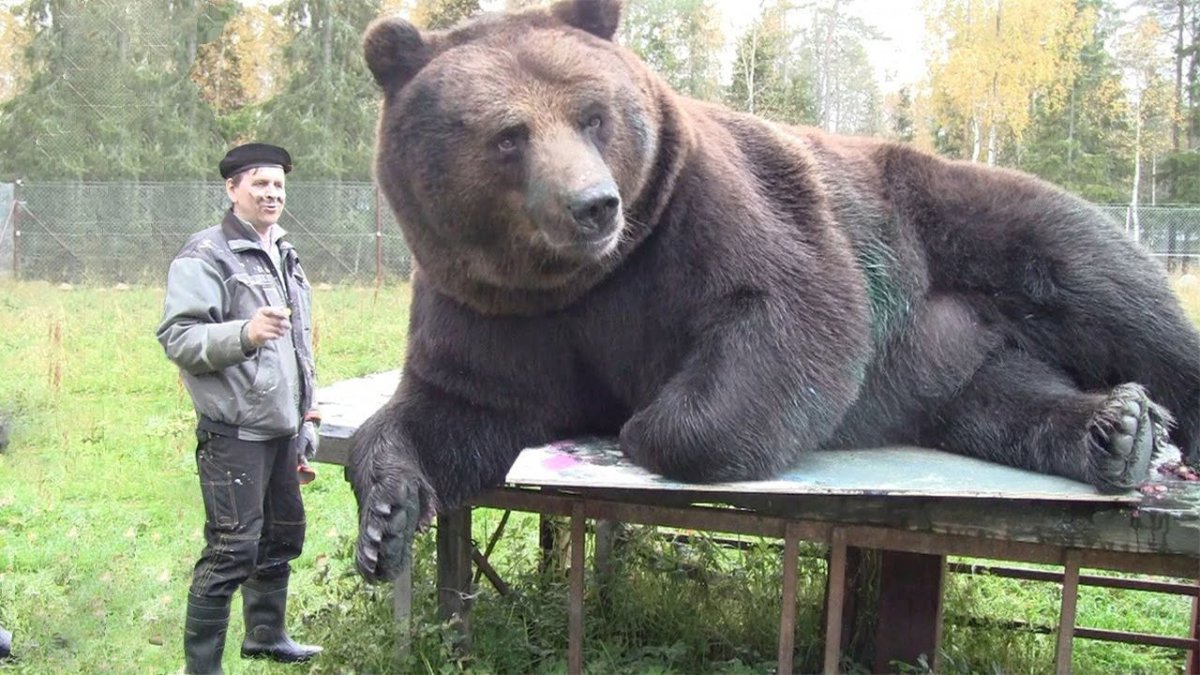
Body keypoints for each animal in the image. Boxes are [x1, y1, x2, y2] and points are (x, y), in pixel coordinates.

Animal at [348, 0, 1200, 582]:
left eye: (593, 115)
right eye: (508, 135)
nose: (593, 205)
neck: (581, 280)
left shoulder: (703, 217)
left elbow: (786, 312)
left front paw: (644, 423)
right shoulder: (491, 309)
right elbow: (455, 409)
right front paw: (386, 518)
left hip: (967, 226)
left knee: (1110, 292)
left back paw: (1153, 416)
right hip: (949, 357)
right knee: (1002, 398)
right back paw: (1116, 427)